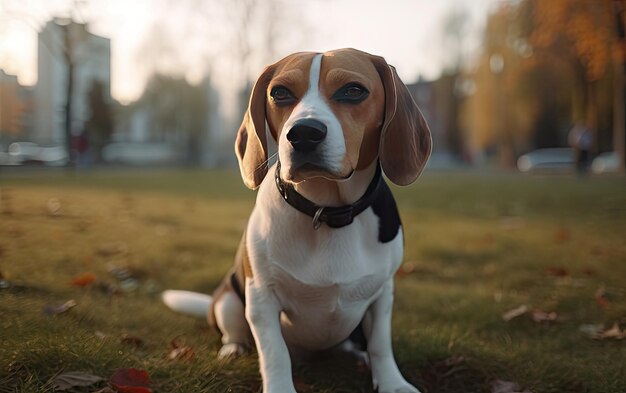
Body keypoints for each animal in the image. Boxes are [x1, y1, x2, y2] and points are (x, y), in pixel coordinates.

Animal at [163, 48, 432, 392]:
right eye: (280, 93)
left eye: (354, 91)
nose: (304, 133)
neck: (327, 212)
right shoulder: (261, 297)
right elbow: (274, 352)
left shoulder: (383, 293)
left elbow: (381, 344)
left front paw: (392, 383)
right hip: (229, 299)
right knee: (233, 330)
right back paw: (233, 348)